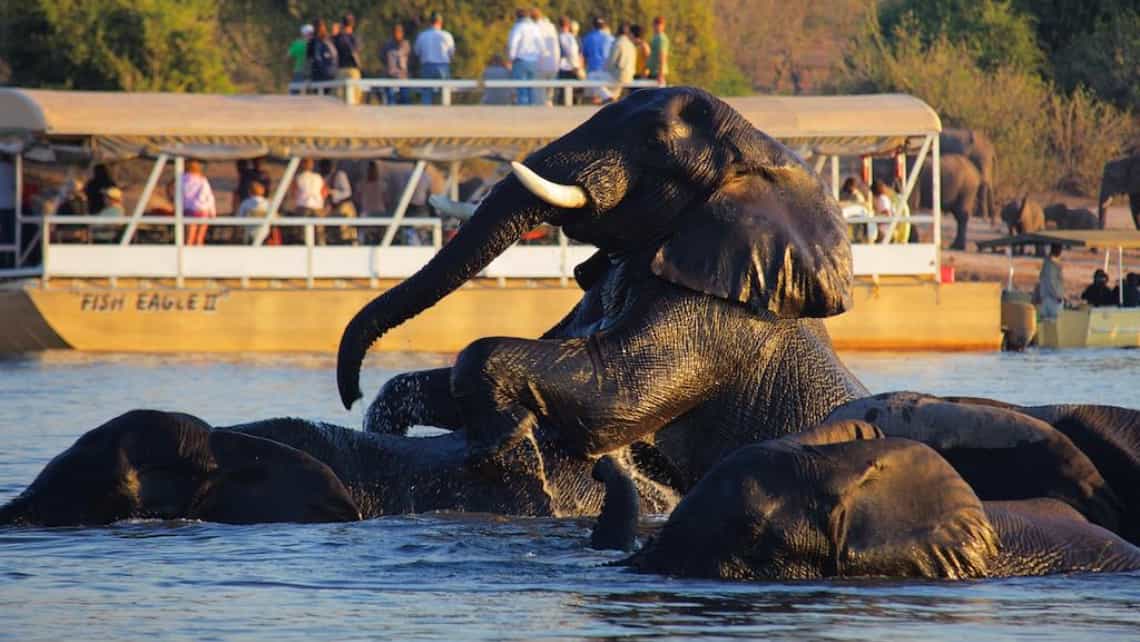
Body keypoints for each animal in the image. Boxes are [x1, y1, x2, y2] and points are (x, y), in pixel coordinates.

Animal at [337, 85, 861, 490]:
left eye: (654, 141)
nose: (350, 394)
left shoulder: (720, 317)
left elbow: (615, 393)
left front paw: (507, 448)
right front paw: (387, 424)